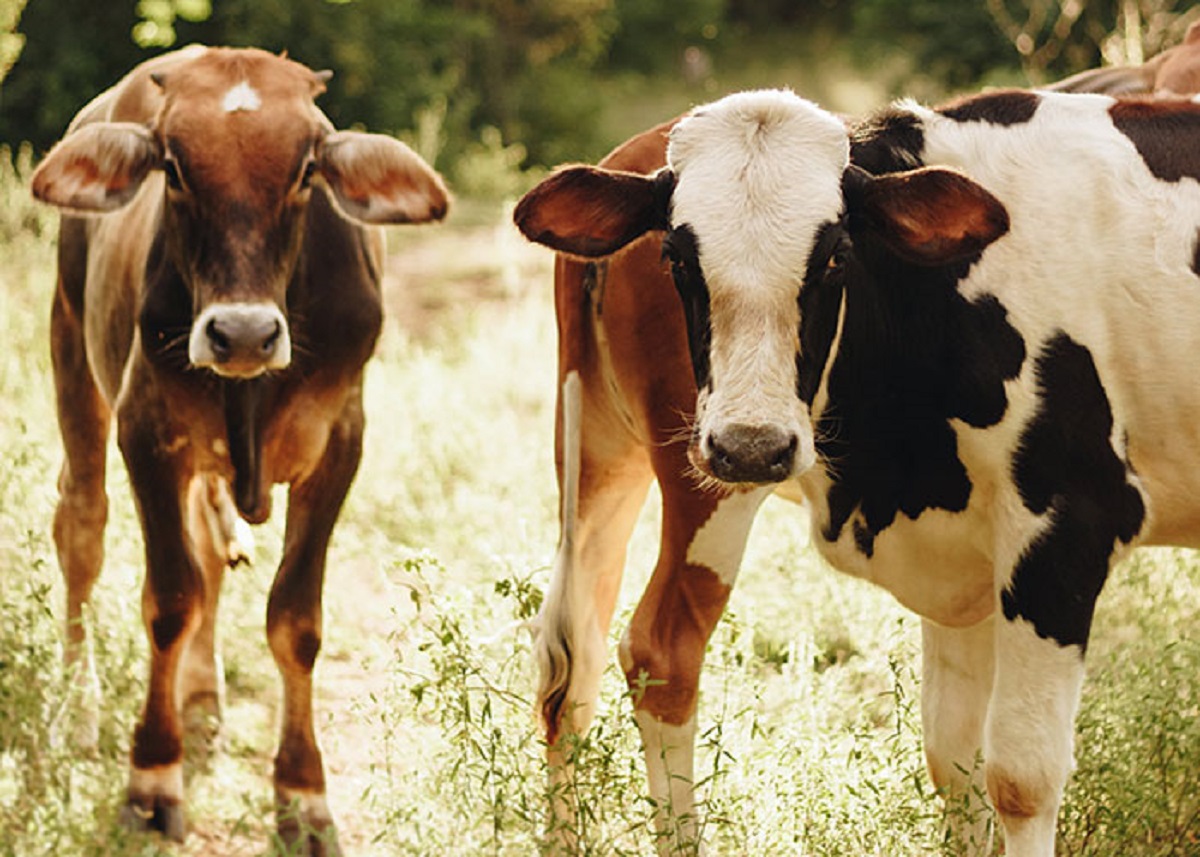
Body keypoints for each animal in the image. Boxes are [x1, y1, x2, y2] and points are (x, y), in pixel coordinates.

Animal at [32, 48, 448, 854]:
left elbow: (295, 619)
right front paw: (151, 782)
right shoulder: (145, 429)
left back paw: (201, 702)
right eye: (173, 167)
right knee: (83, 528)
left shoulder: (339, 442)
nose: (244, 335)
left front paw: (303, 797)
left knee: (206, 550)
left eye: (306, 170)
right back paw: (77, 709)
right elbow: (170, 600)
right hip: (72, 351)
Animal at [513, 88, 1200, 854]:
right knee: (659, 652)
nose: (751, 446)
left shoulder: (985, 547)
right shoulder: (1063, 529)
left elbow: (960, 759)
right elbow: (1021, 775)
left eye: (837, 256)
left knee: (571, 661)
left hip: (603, 454)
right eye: (675, 255)